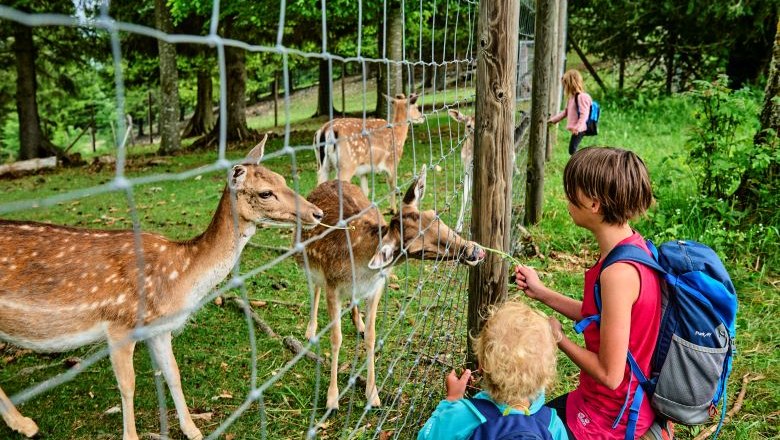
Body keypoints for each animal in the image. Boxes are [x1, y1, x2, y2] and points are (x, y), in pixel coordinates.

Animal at [0, 135, 322, 440]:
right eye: (265, 192)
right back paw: (27, 424)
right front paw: (132, 436)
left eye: (282, 178)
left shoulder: (158, 328)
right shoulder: (120, 324)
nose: (317, 213)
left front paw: (192, 429)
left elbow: (173, 373)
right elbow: (128, 385)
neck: (179, 280)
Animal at [298, 166, 482, 412]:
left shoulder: (376, 287)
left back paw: (358, 323)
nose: (474, 251)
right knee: (314, 287)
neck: (360, 268)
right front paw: (332, 399)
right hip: (306, 260)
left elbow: (372, 337)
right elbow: (336, 338)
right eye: (418, 249)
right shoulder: (332, 286)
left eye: (435, 215)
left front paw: (373, 395)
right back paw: (310, 331)